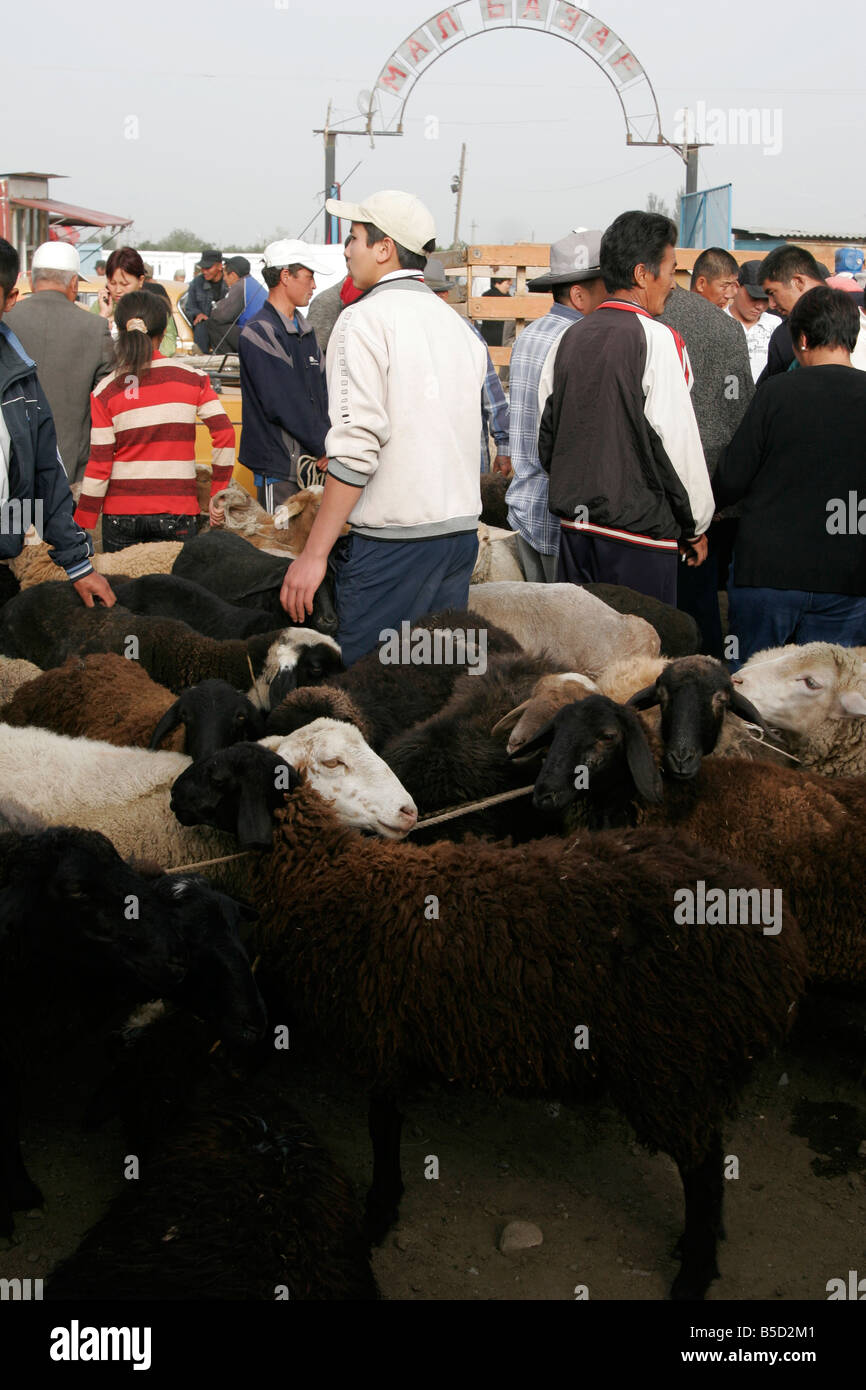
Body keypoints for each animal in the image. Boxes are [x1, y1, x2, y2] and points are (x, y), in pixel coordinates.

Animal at [170, 772, 811, 1301]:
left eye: (221, 773)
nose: (174, 798)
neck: (325, 873)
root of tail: (775, 948)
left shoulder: (381, 1033)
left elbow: (382, 1130)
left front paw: (378, 1213)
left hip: (668, 1058)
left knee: (702, 1166)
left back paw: (694, 1273)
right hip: (685, 1062)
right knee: (710, 1156)